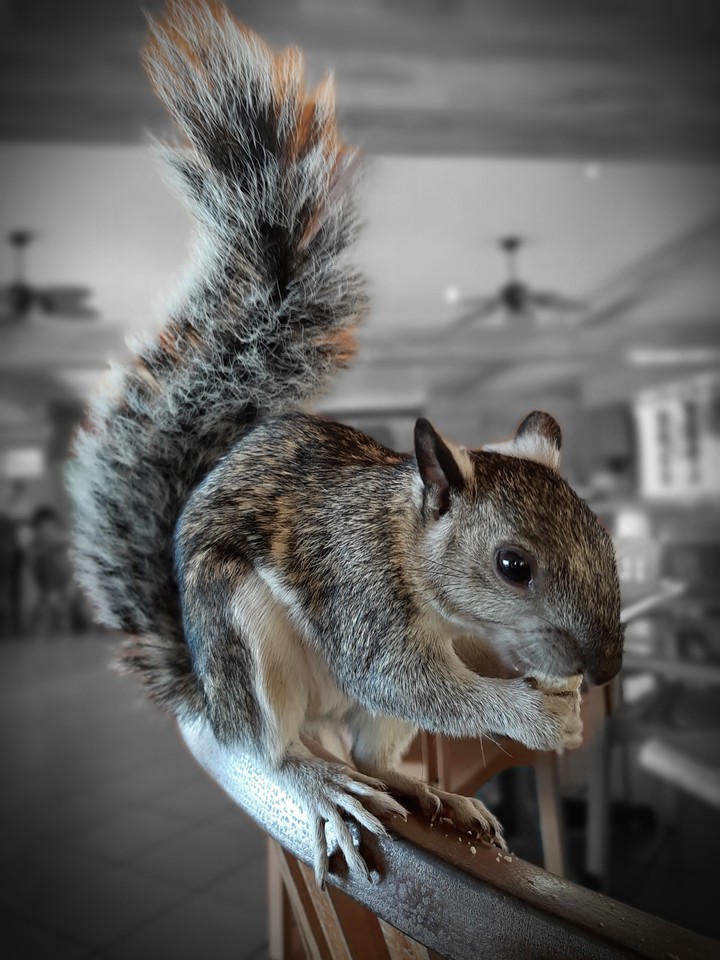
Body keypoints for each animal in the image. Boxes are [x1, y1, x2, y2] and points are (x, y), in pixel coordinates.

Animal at [68, 0, 623, 886]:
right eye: (513, 565)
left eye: (604, 534)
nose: (603, 668)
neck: (408, 547)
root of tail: (207, 694)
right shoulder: (360, 589)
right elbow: (409, 681)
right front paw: (531, 714)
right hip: (245, 638)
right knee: (273, 748)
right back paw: (315, 782)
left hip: (361, 720)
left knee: (375, 753)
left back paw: (430, 790)